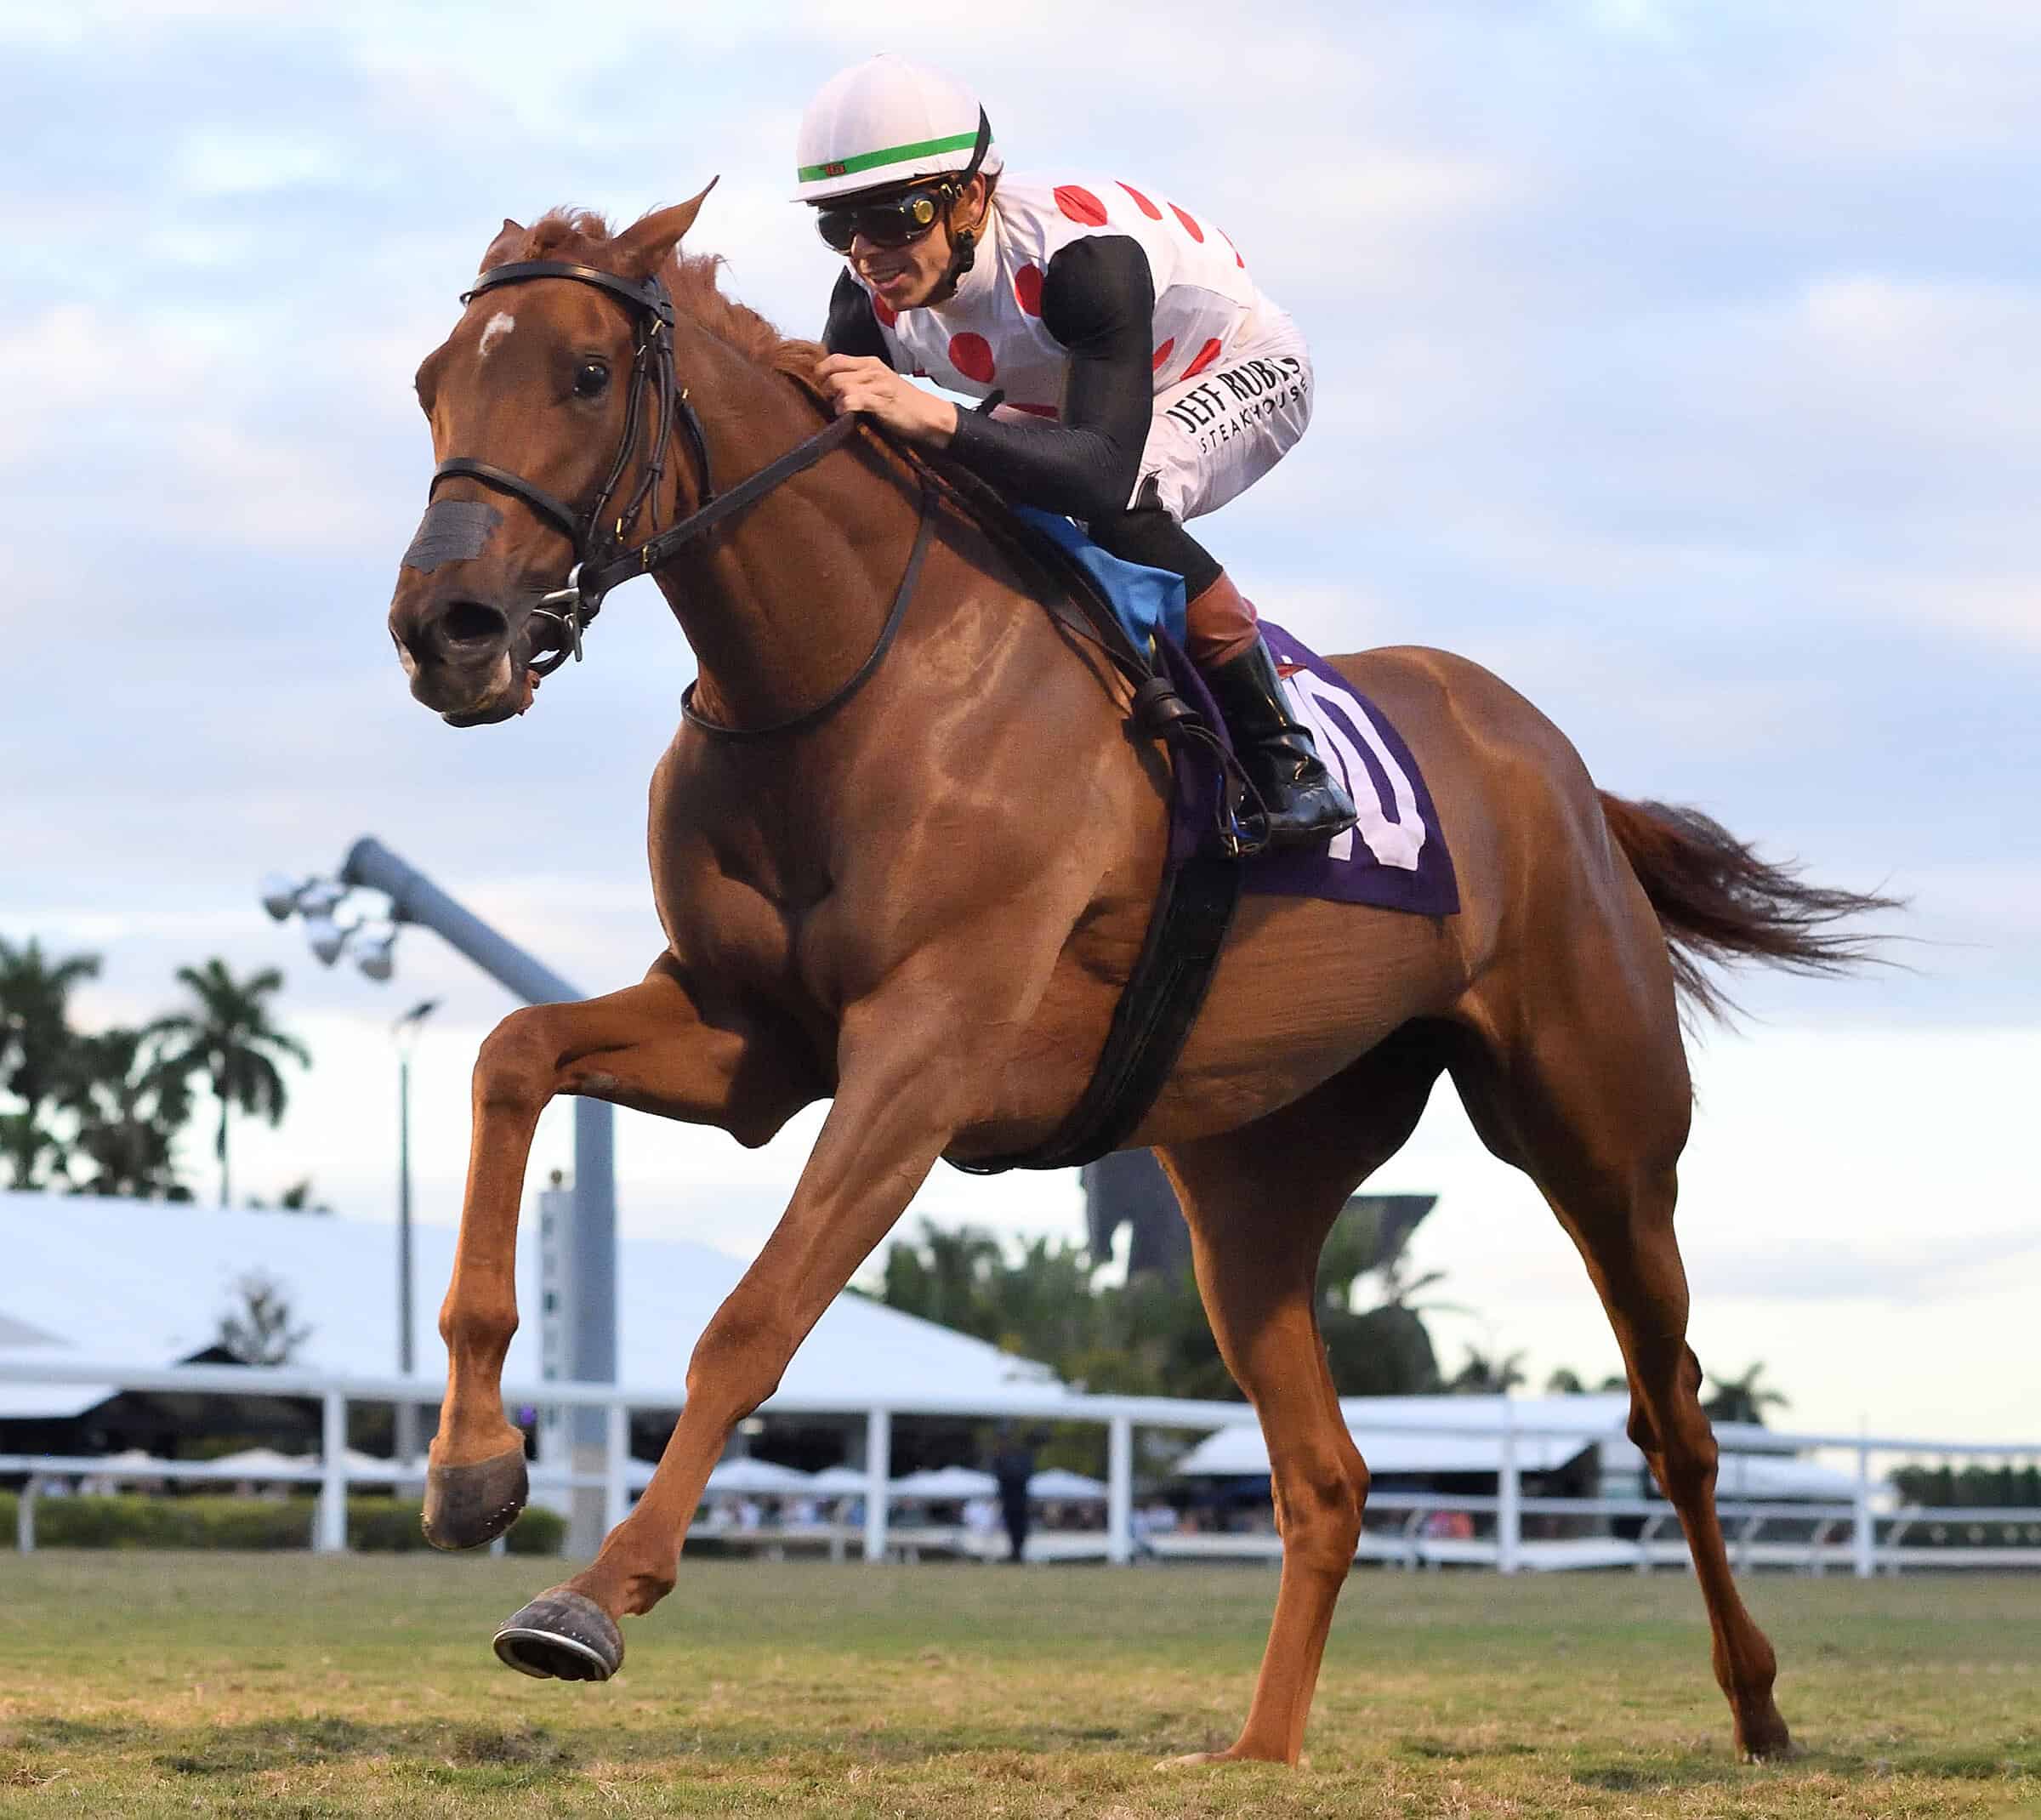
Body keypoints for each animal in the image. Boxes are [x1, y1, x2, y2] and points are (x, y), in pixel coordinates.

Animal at [386, 190, 1889, 1768]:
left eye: (586, 376)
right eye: (431, 382)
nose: (448, 630)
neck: (850, 673)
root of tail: (1564, 774)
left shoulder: (923, 1055)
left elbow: (752, 1322)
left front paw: (594, 1592)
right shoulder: (754, 1040)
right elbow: (509, 1054)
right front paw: (473, 1470)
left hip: (1600, 1137)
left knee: (1676, 1422)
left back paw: (1760, 1704)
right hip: (1248, 1187)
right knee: (1328, 1476)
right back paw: (1264, 1747)